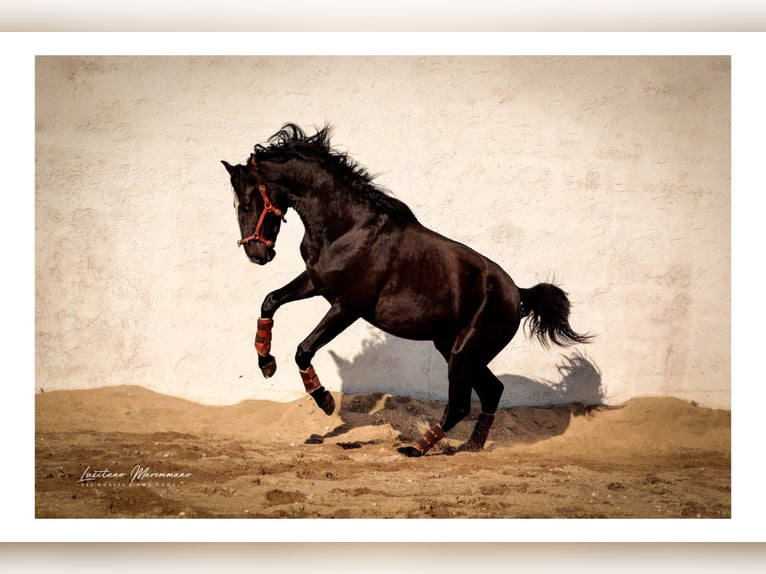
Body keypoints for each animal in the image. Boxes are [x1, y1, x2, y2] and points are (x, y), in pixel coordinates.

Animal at [222, 123, 592, 457]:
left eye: (249, 201)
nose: (256, 254)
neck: (347, 227)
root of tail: (518, 293)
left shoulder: (348, 306)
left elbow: (304, 348)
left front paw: (324, 399)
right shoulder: (316, 282)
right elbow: (270, 301)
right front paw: (266, 362)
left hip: (464, 353)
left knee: (461, 403)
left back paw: (416, 447)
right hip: (455, 348)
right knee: (491, 391)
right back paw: (471, 447)